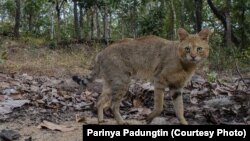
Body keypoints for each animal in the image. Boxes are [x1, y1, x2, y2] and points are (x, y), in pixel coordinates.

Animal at [72, 28, 211, 125]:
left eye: (199, 49)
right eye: (187, 49)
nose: (193, 56)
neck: (186, 65)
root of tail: (101, 53)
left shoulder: (177, 88)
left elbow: (180, 109)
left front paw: (184, 123)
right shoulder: (159, 80)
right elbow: (159, 106)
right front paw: (148, 119)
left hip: (110, 83)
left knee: (100, 100)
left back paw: (100, 120)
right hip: (122, 82)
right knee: (113, 105)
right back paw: (121, 121)